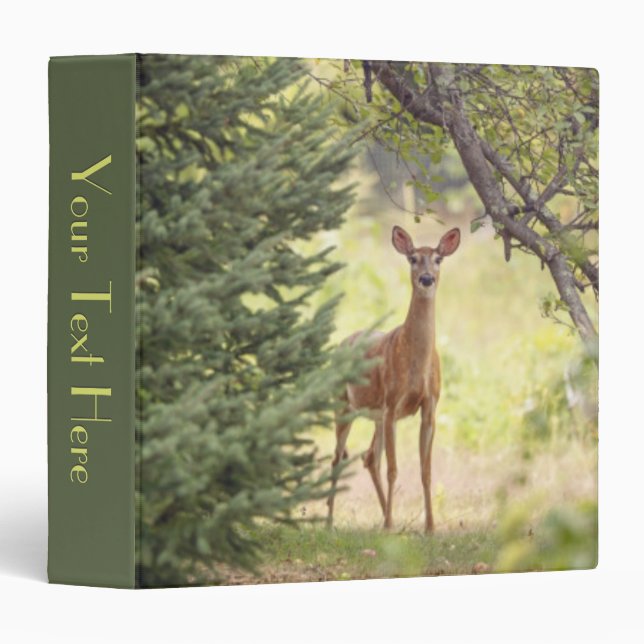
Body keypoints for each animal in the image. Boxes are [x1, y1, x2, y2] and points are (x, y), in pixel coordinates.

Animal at [326, 225, 461, 533]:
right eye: (412, 258)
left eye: (438, 258)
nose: (426, 278)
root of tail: (342, 344)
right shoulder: (391, 403)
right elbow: (394, 469)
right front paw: (389, 525)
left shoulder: (429, 406)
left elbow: (425, 470)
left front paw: (430, 527)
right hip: (343, 405)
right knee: (338, 458)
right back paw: (330, 522)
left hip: (374, 415)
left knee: (368, 456)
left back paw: (387, 518)